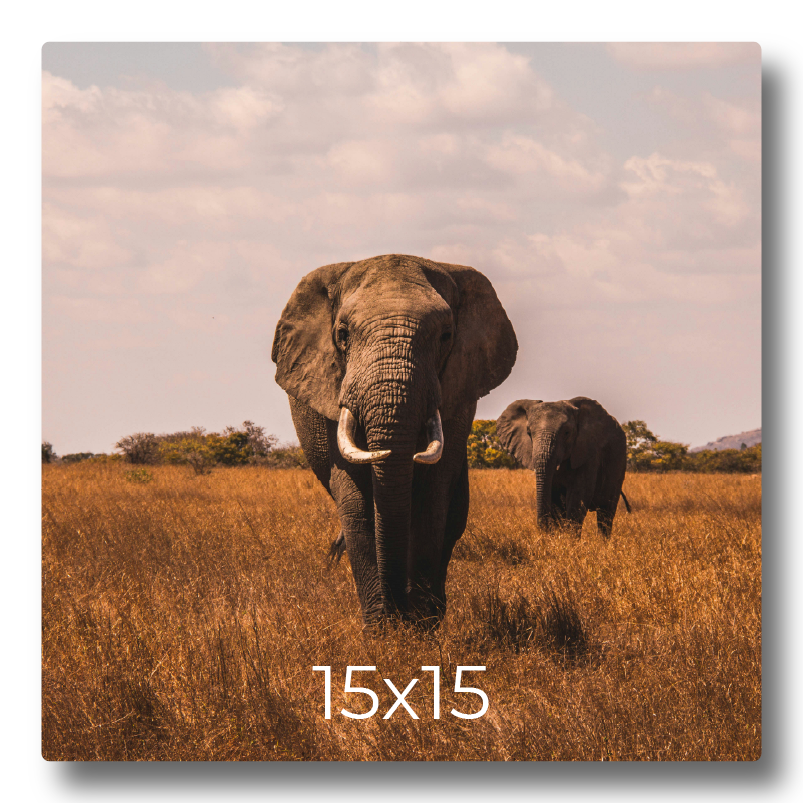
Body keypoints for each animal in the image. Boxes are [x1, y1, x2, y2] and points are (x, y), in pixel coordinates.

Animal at [272, 254, 517, 627]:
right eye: (342, 335)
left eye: (446, 336)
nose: (397, 611)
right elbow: (356, 502)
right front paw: (382, 630)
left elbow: (433, 499)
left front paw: (419, 627)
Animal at [496, 397, 630, 538]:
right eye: (529, 433)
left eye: (567, 432)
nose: (544, 531)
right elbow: (555, 499)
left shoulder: (588, 453)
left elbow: (578, 497)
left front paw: (570, 541)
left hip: (619, 461)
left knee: (606, 513)